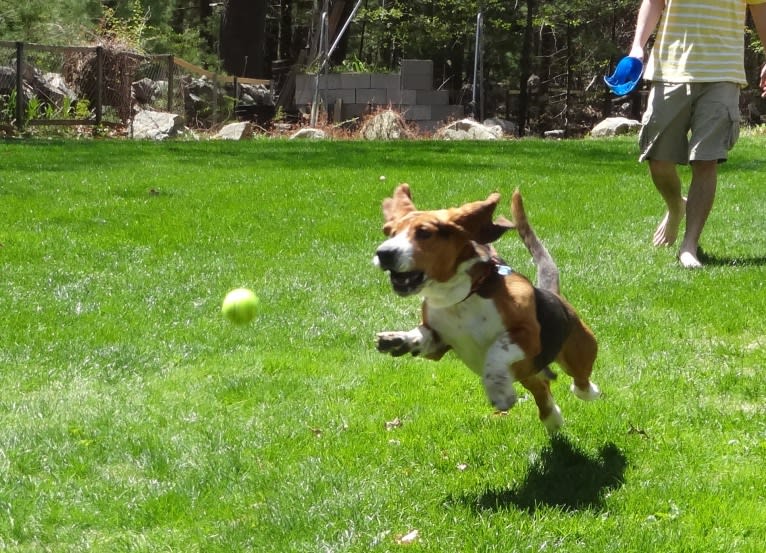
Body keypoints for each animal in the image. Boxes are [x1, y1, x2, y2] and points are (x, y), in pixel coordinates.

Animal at [376, 183, 604, 434]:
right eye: (390, 232)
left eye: (424, 232)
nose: (383, 253)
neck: (462, 296)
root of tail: (555, 296)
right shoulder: (438, 341)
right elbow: (421, 334)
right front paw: (399, 339)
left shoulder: (527, 334)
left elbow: (497, 350)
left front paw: (499, 391)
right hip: (528, 373)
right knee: (541, 386)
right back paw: (552, 417)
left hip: (579, 354)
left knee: (580, 383)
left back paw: (588, 391)